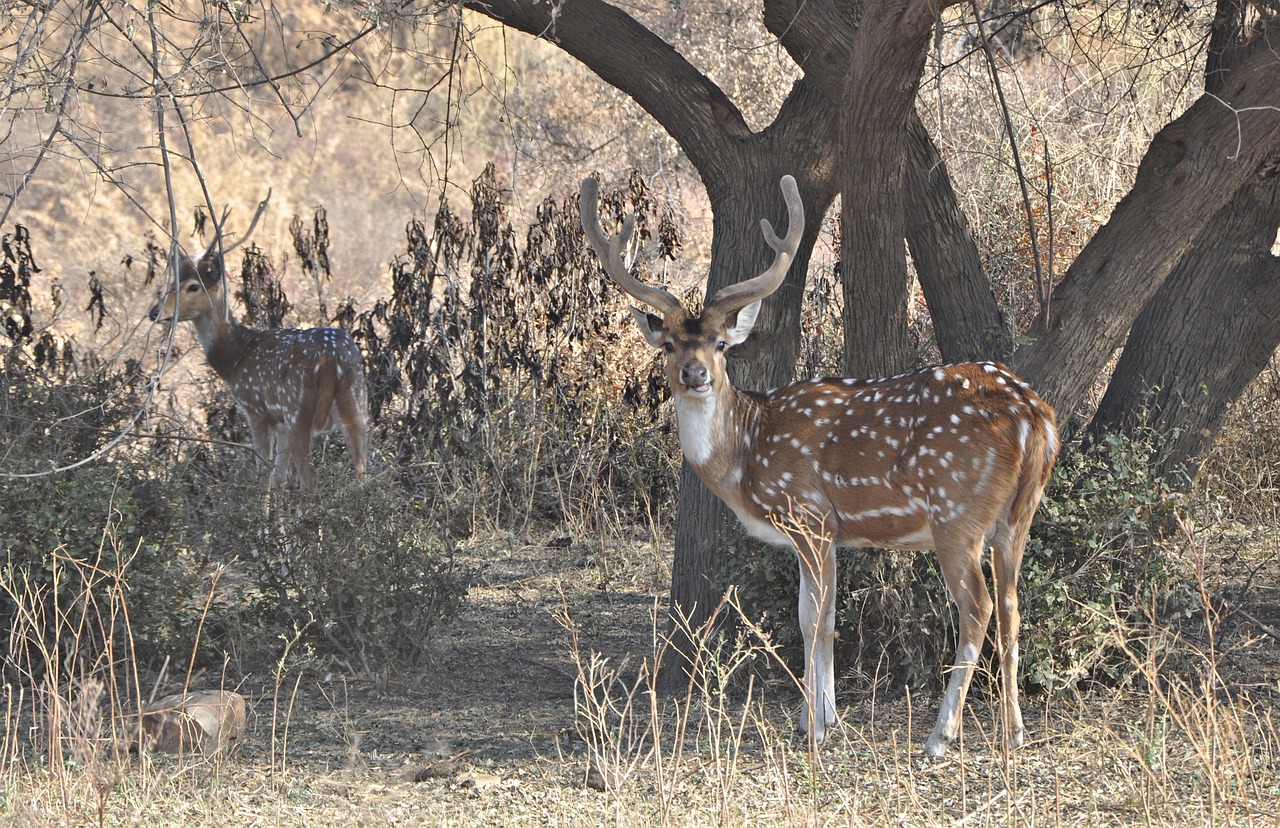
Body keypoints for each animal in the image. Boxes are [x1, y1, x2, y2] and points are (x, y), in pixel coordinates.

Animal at [151, 197, 371, 488]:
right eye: (171, 282)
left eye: (193, 286)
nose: (155, 312)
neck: (234, 358)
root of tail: (331, 358)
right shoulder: (280, 426)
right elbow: (278, 479)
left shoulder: (256, 411)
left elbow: (263, 475)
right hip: (357, 403)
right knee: (362, 473)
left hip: (297, 410)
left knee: (310, 479)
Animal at [581, 176, 1059, 757]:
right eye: (668, 344)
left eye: (721, 344)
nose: (695, 374)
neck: (746, 455)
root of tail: (1034, 415)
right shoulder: (819, 531)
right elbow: (817, 614)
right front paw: (822, 716)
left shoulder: (809, 515)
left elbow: (816, 622)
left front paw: (816, 726)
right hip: (1017, 515)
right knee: (1012, 604)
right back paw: (1013, 732)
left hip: (956, 513)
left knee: (979, 609)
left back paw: (940, 735)